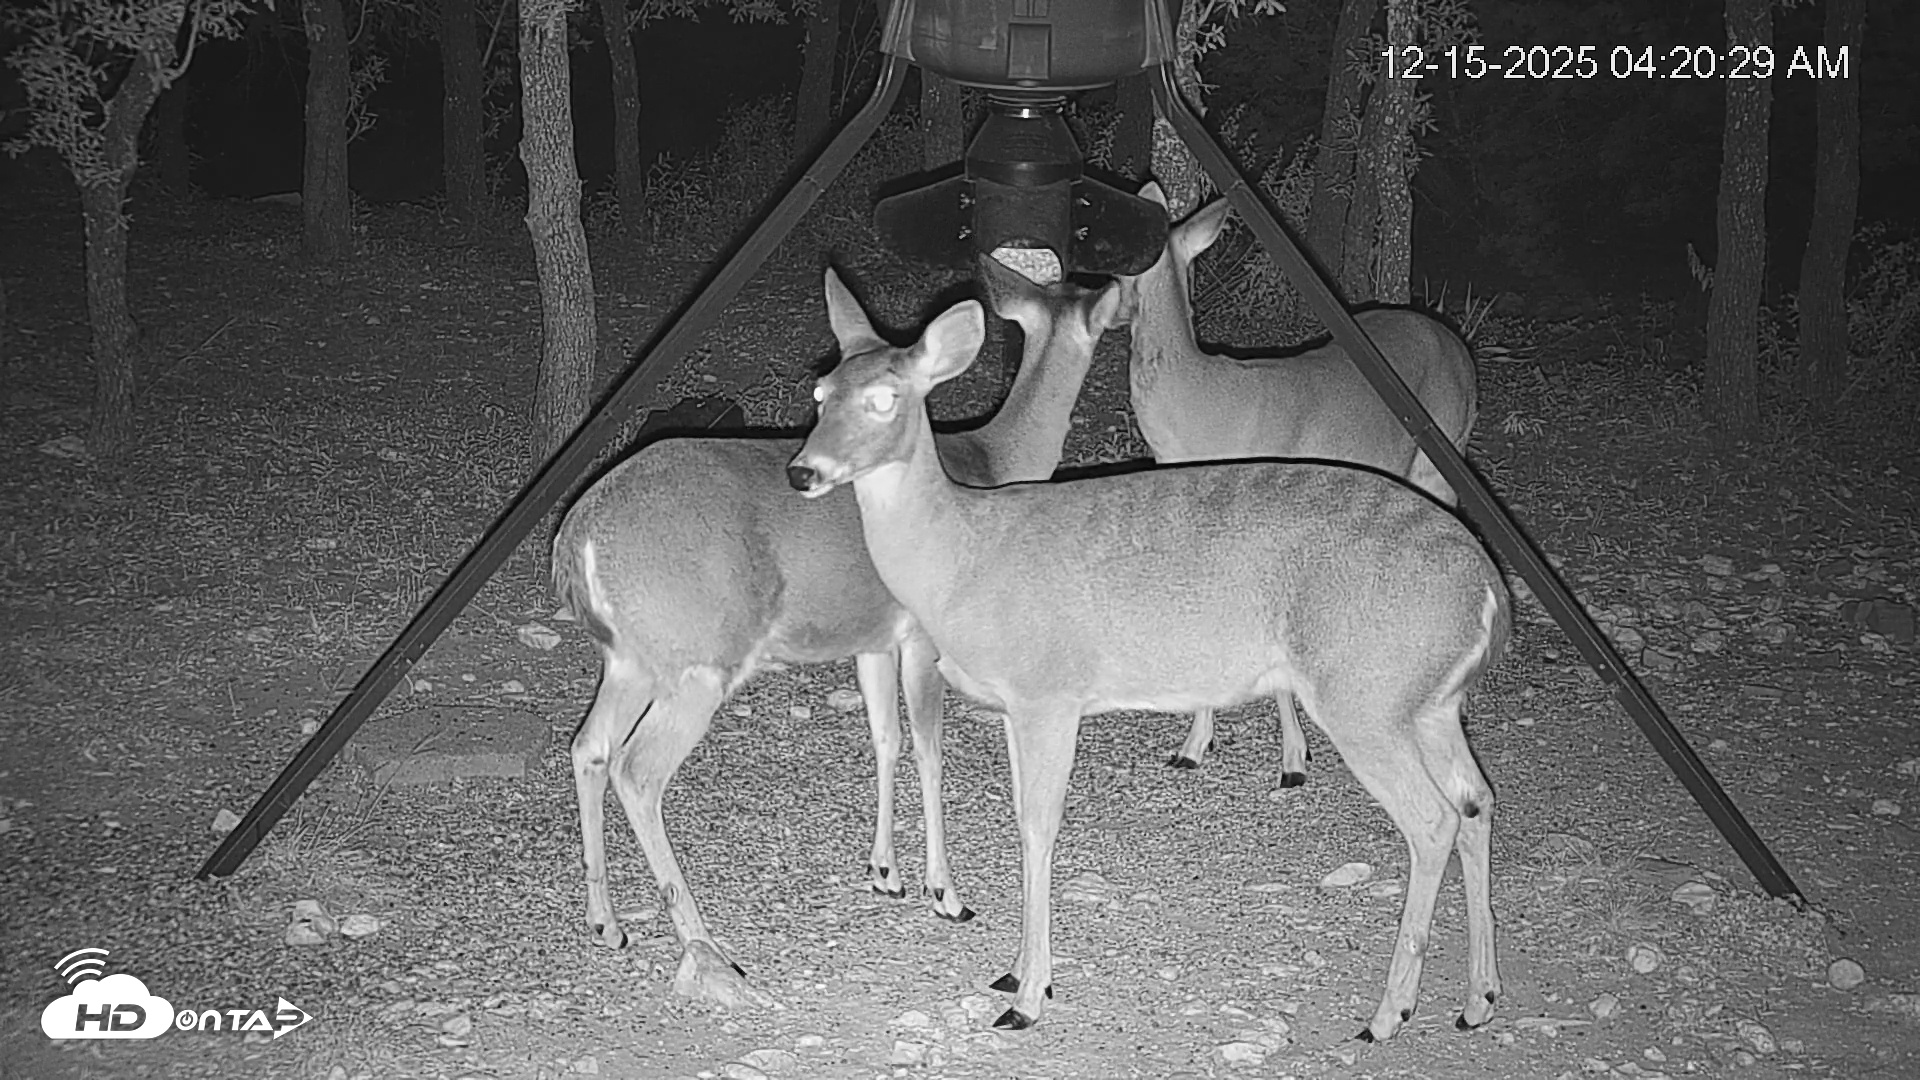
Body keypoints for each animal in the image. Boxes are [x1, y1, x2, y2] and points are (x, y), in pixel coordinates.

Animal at [553, 258, 1119, 1008]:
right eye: (819, 397)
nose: (806, 467)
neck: (988, 465)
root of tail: (576, 537)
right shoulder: (921, 636)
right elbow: (929, 750)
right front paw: (946, 893)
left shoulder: (872, 639)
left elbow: (884, 739)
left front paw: (885, 873)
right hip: (698, 660)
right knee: (637, 770)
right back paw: (709, 949)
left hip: (633, 658)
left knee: (588, 746)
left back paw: (607, 923)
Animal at [787, 269, 1506, 1040]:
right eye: (820, 394)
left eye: (886, 398)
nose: (803, 472)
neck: (962, 552)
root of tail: (1489, 588)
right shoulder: (1013, 705)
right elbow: (1020, 818)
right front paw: (1012, 971)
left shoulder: (1049, 692)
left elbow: (1038, 828)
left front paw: (1028, 995)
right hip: (1429, 704)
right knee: (1476, 801)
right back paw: (1477, 1000)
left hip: (1365, 695)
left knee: (1431, 820)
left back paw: (1388, 1014)